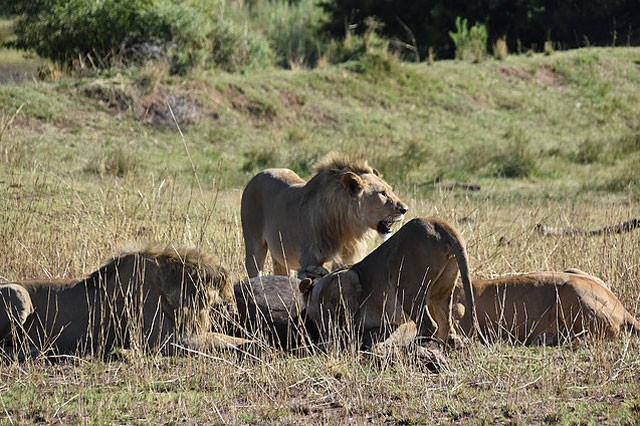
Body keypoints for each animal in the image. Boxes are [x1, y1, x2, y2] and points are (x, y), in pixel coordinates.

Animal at [0, 243, 249, 356]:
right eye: (228, 300)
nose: (237, 314)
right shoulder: (163, 340)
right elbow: (222, 340)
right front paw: (250, 344)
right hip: (18, 295)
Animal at [298, 218, 476, 348]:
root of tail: (438, 223)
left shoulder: (348, 278)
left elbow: (342, 320)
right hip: (441, 291)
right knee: (446, 326)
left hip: (407, 288)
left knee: (430, 325)